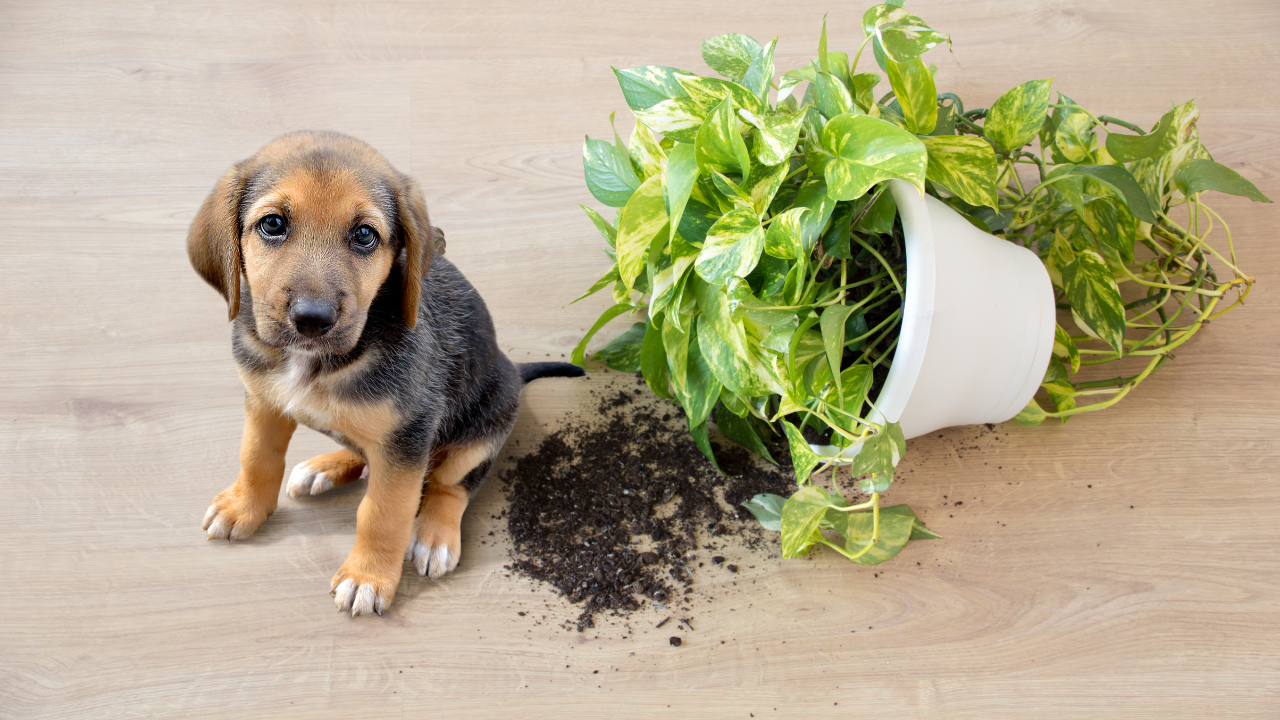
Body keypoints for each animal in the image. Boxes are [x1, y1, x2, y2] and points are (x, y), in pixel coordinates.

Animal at [186, 131, 583, 614]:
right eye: (273, 224)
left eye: (364, 235)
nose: (312, 320)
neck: (315, 363)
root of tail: (513, 369)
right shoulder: (263, 403)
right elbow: (256, 458)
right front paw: (244, 507)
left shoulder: (407, 437)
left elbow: (383, 513)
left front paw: (368, 576)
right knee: (362, 450)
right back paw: (325, 466)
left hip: (485, 425)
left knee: (451, 485)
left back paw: (434, 535)